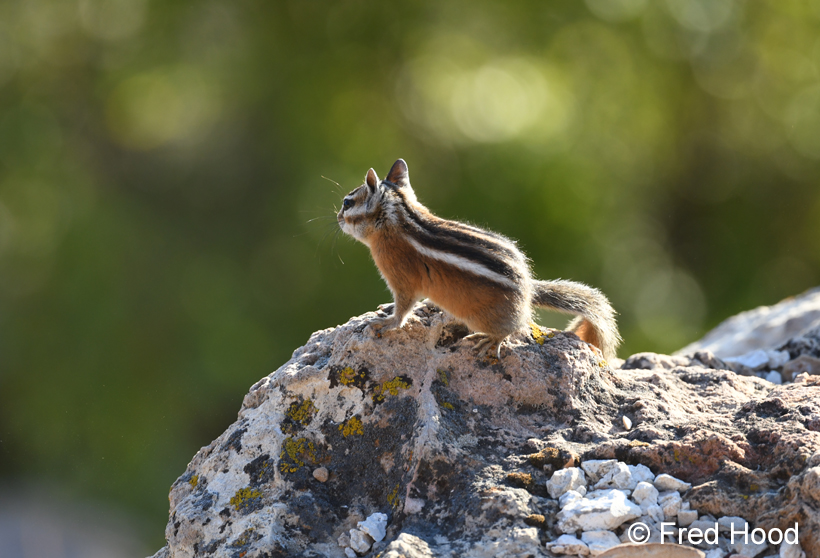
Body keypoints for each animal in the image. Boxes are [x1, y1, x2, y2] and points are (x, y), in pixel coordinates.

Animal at [337, 158, 621, 360]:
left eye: (347, 203)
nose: (338, 217)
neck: (398, 218)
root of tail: (529, 290)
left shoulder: (401, 278)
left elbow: (403, 308)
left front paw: (386, 322)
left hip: (483, 318)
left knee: (516, 327)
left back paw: (491, 340)